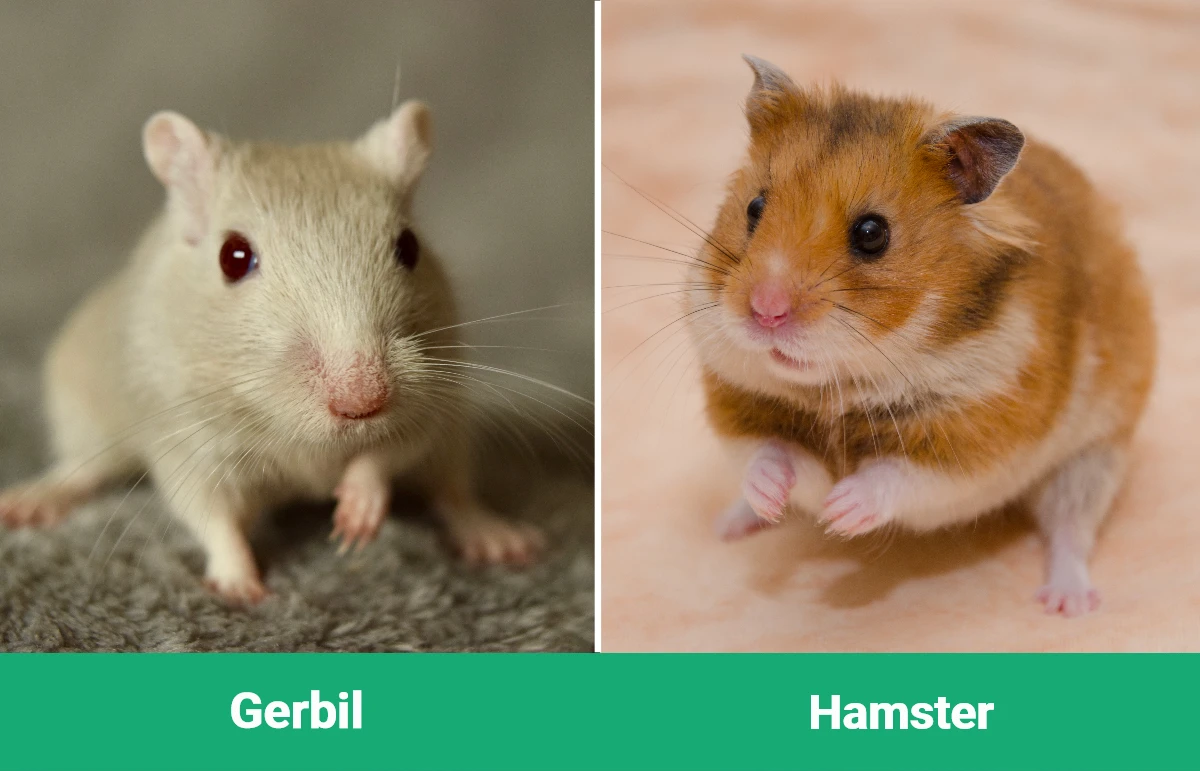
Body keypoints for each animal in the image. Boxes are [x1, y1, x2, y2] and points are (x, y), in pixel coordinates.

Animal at [0, 101, 544, 603]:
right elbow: (209, 513)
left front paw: (354, 520)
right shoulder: (186, 437)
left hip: (453, 435)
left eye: (409, 247)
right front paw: (242, 589)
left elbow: (389, 452)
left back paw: (499, 538)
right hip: (81, 412)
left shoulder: (430, 400)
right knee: (81, 468)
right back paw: (29, 502)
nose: (364, 403)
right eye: (233, 257)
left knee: (452, 491)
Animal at [687, 56, 1155, 617]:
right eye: (754, 208)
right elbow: (771, 453)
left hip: (1094, 456)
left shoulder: (980, 436)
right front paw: (779, 496)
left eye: (872, 234)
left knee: (1071, 529)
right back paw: (730, 525)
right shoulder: (740, 404)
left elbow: (896, 475)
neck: (840, 386)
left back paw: (1068, 604)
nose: (765, 312)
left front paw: (839, 512)